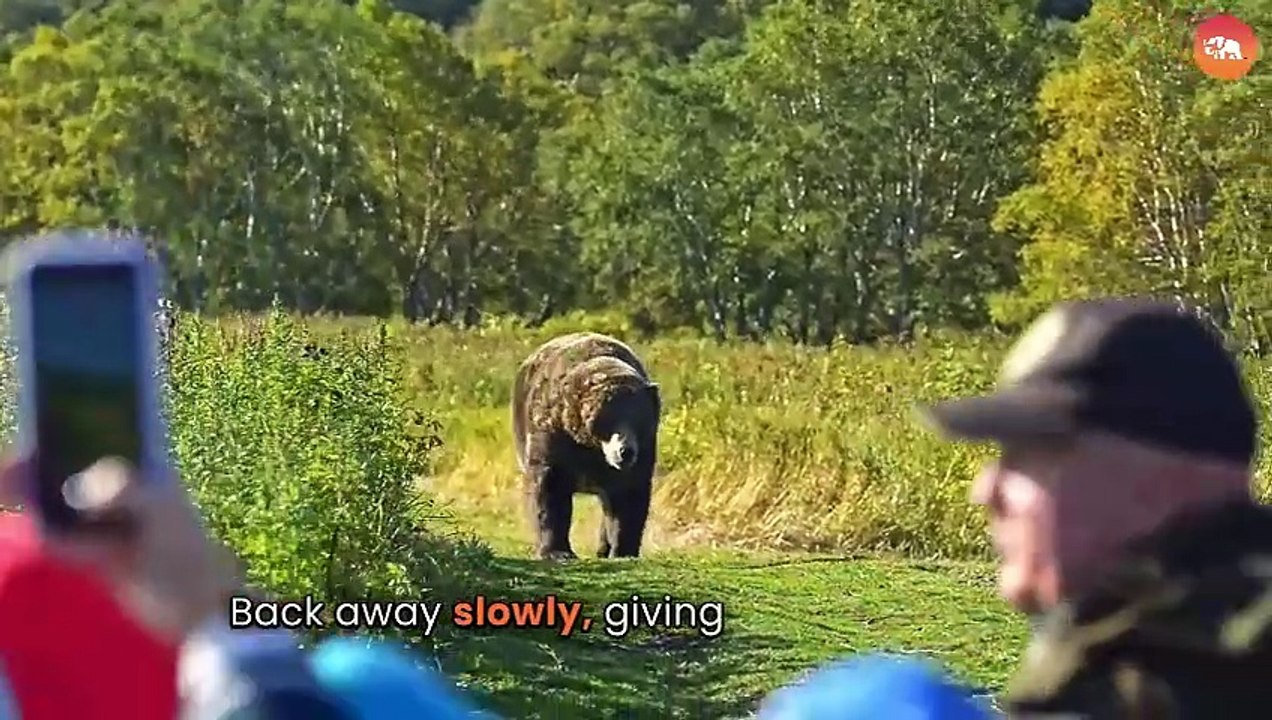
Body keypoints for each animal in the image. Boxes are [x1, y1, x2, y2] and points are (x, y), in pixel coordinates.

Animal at [511, 332, 661, 560]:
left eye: (639, 419)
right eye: (607, 418)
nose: (625, 452)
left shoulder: (642, 452)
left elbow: (629, 498)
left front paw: (623, 550)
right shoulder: (553, 434)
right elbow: (548, 491)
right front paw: (556, 551)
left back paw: (603, 549)